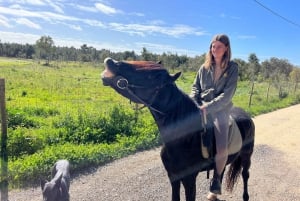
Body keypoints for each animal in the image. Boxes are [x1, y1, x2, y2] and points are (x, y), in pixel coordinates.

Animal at [101, 57, 255, 200]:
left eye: (153, 77)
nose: (111, 61)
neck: (186, 137)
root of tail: (246, 115)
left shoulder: (189, 179)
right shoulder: (173, 177)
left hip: (246, 156)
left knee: (245, 175)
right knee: (221, 171)